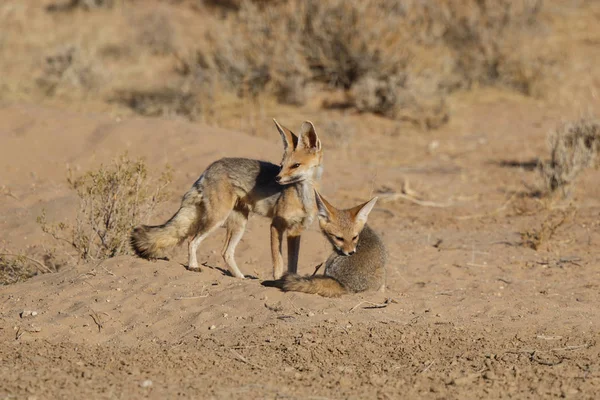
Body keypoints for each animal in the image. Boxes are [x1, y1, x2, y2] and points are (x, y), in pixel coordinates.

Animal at [130, 120, 324, 280]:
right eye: (282, 165)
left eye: (296, 165)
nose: (277, 178)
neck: (303, 199)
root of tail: (208, 169)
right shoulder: (276, 225)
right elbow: (278, 262)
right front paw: (278, 281)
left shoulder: (296, 231)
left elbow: (293, 263)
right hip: (218, 218)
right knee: (193, 240)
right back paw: (193, 266)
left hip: (239, 224)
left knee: (226, 253)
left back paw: (240, 278)